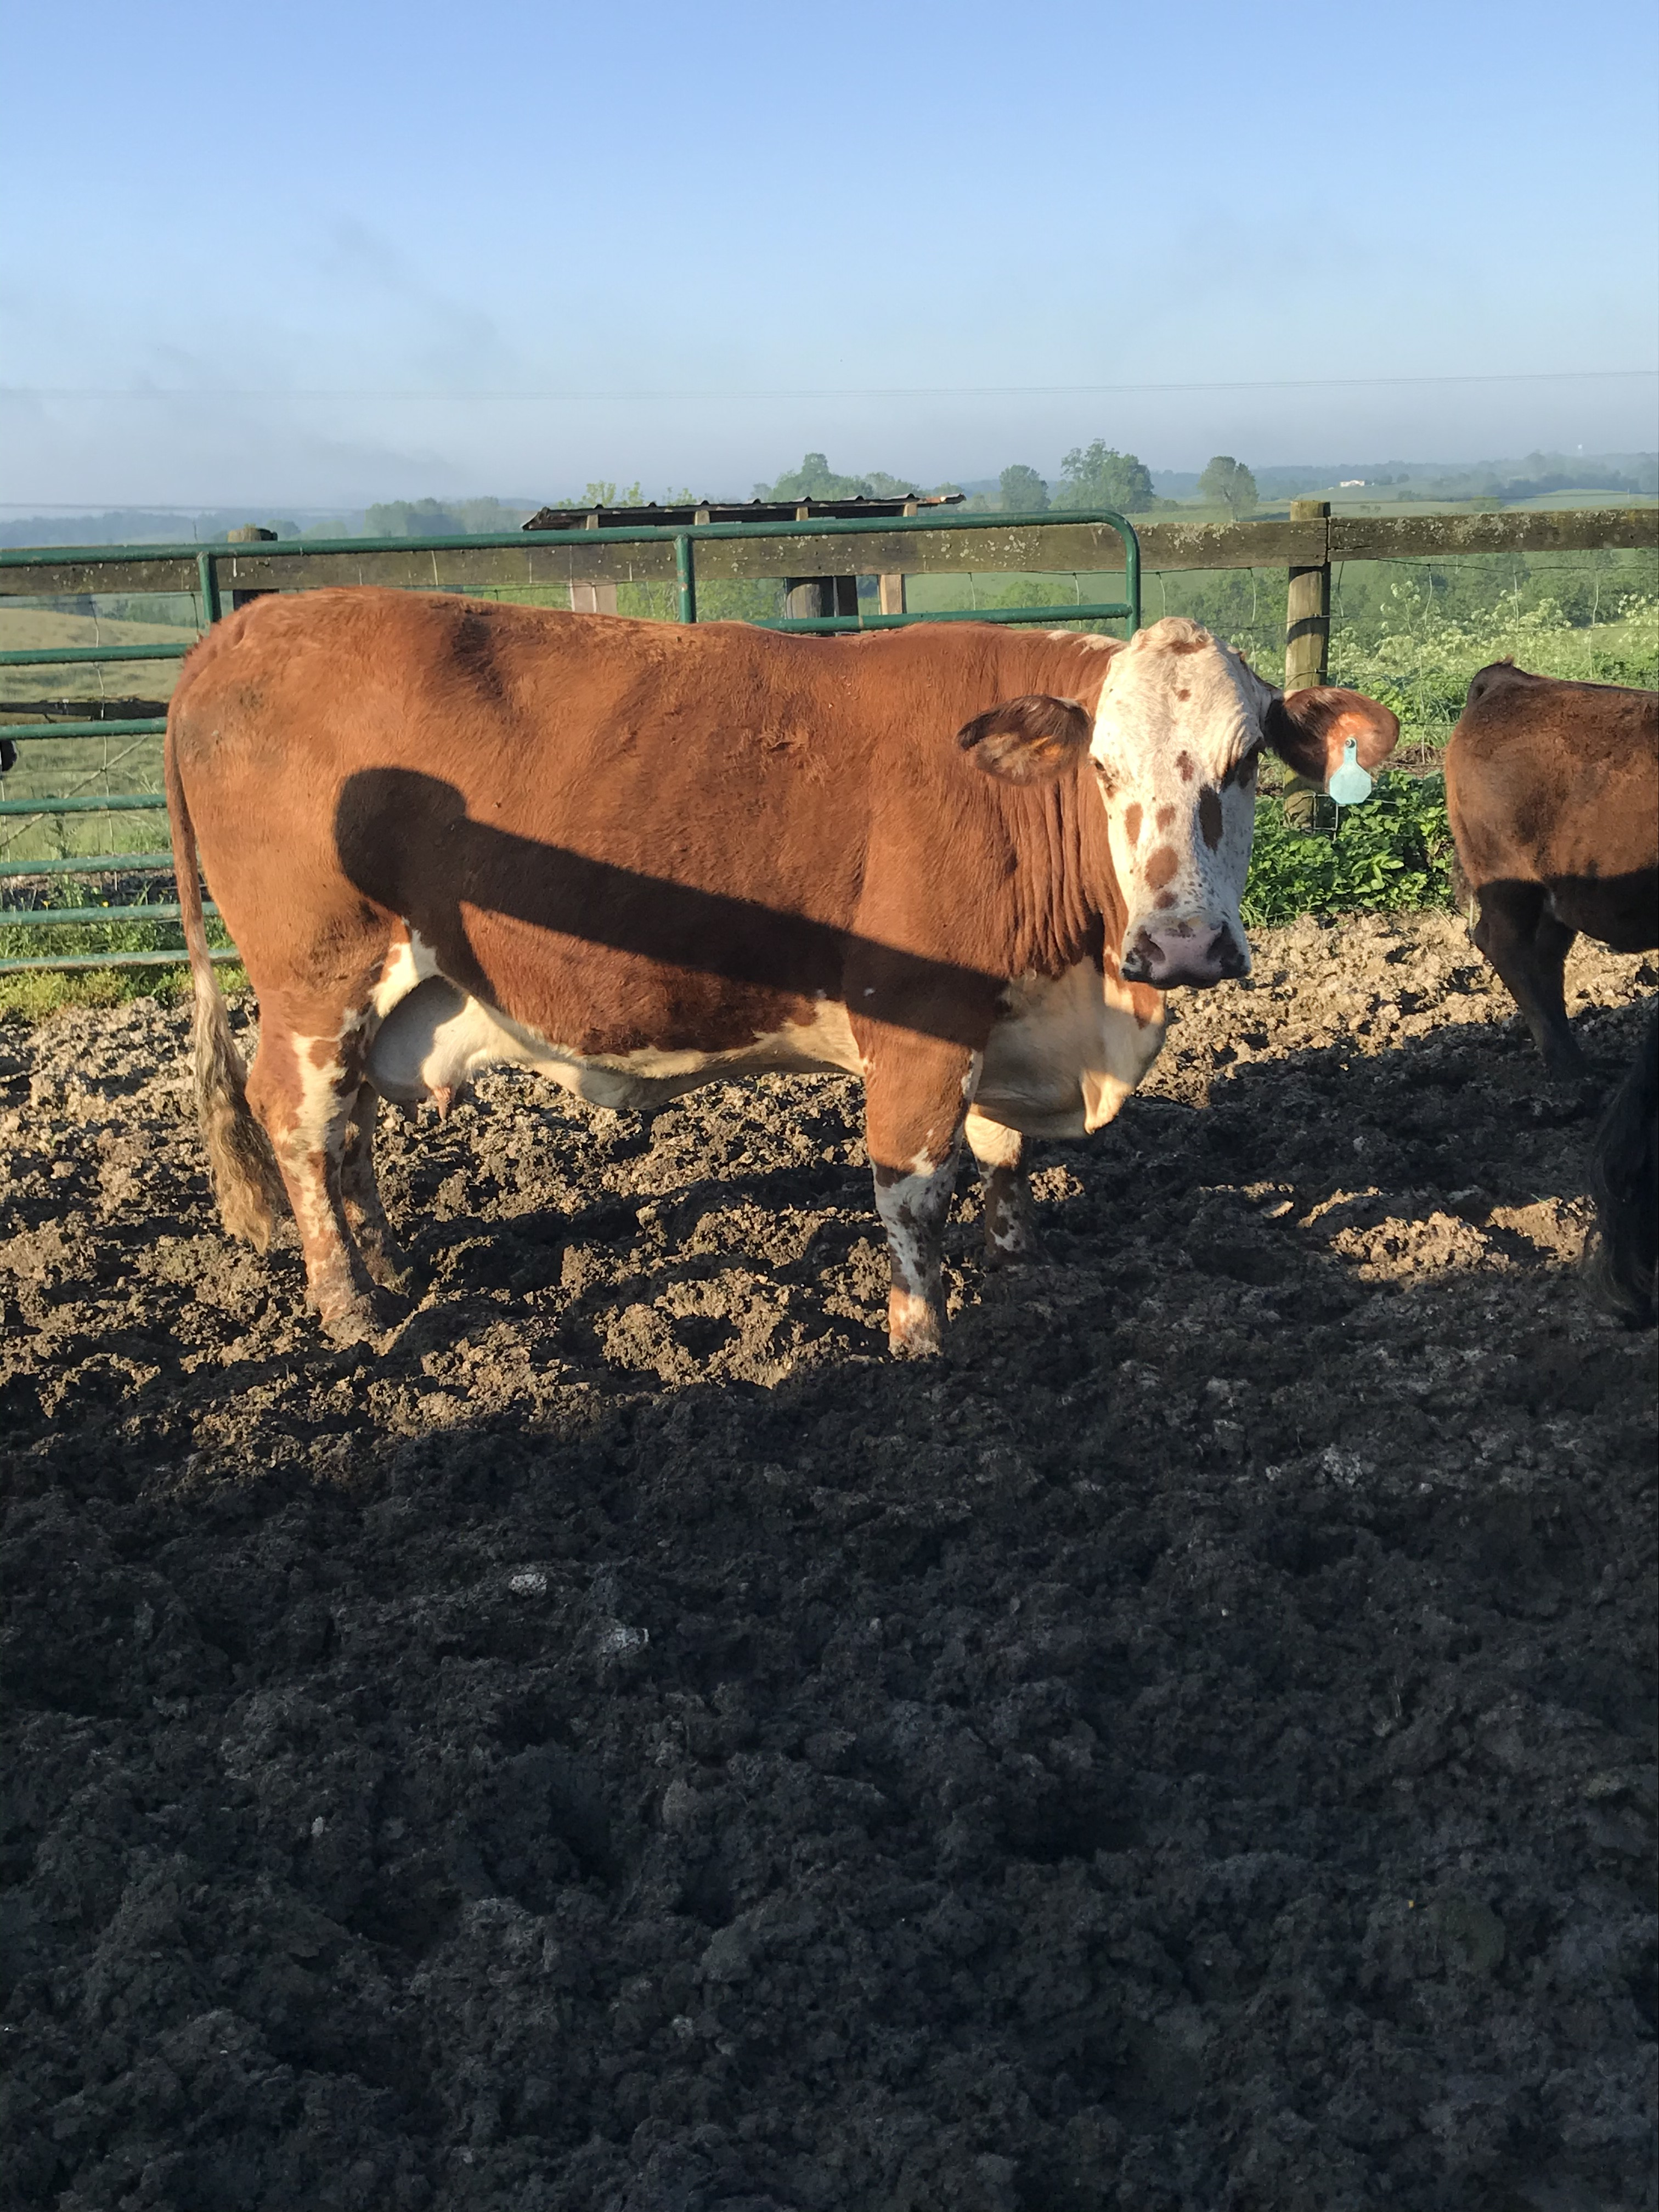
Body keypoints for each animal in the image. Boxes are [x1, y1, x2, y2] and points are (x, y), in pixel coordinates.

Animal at [164, 595, 1397, 1353]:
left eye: (1247, 764)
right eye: (1100, 768)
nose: (1183, 945)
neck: (1088, 1003)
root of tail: (240, 631)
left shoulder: (1008, 1022)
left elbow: (1002, 1158)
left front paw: (1017, 1258)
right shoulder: (917, 1020)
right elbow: (911, 1186)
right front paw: (920, 1337)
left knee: (351, 1124)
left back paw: (387, 1263)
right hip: (316, 973)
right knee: (299, 1120)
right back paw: (349, 1307)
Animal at [1446, 663, 1658, 1078]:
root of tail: (1508, 680)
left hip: (1555, 892)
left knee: (1543, 957)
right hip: (1508, 880)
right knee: (1507, 948)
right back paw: (1567, 1061)